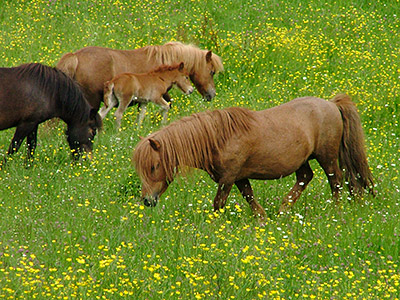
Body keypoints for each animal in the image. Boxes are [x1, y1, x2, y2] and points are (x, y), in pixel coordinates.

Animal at [134, 95, 376, 219]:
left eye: (154, 166)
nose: (147, 201)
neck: (218, 138)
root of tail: (332, 104)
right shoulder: (239, 177)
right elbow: (249, 196)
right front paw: (262, 219)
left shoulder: (228, 178)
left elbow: (218, 203)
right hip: (303, 160)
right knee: (305, 177)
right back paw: (283, 209)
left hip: (327, 157)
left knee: (336, 182)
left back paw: (336, 212)